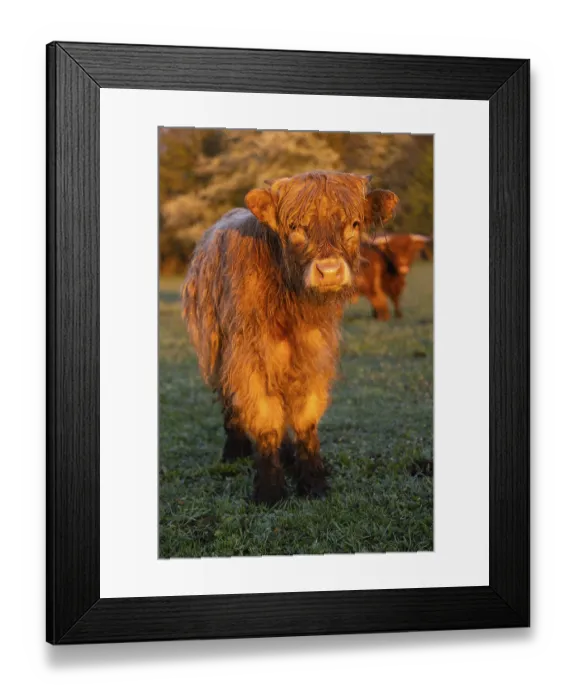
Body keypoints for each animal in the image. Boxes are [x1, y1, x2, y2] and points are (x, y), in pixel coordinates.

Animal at [182, 171, 399, 504]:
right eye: (294, 226)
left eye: (354, 224)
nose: (329, 271)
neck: (291, 306)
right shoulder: (250, 359)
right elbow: (264, 419)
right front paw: (270, 490)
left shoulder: (314, 354)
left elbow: (305, 418)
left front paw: (313, 481)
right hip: (215, 351)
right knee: (229, 402)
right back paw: (234, 451)